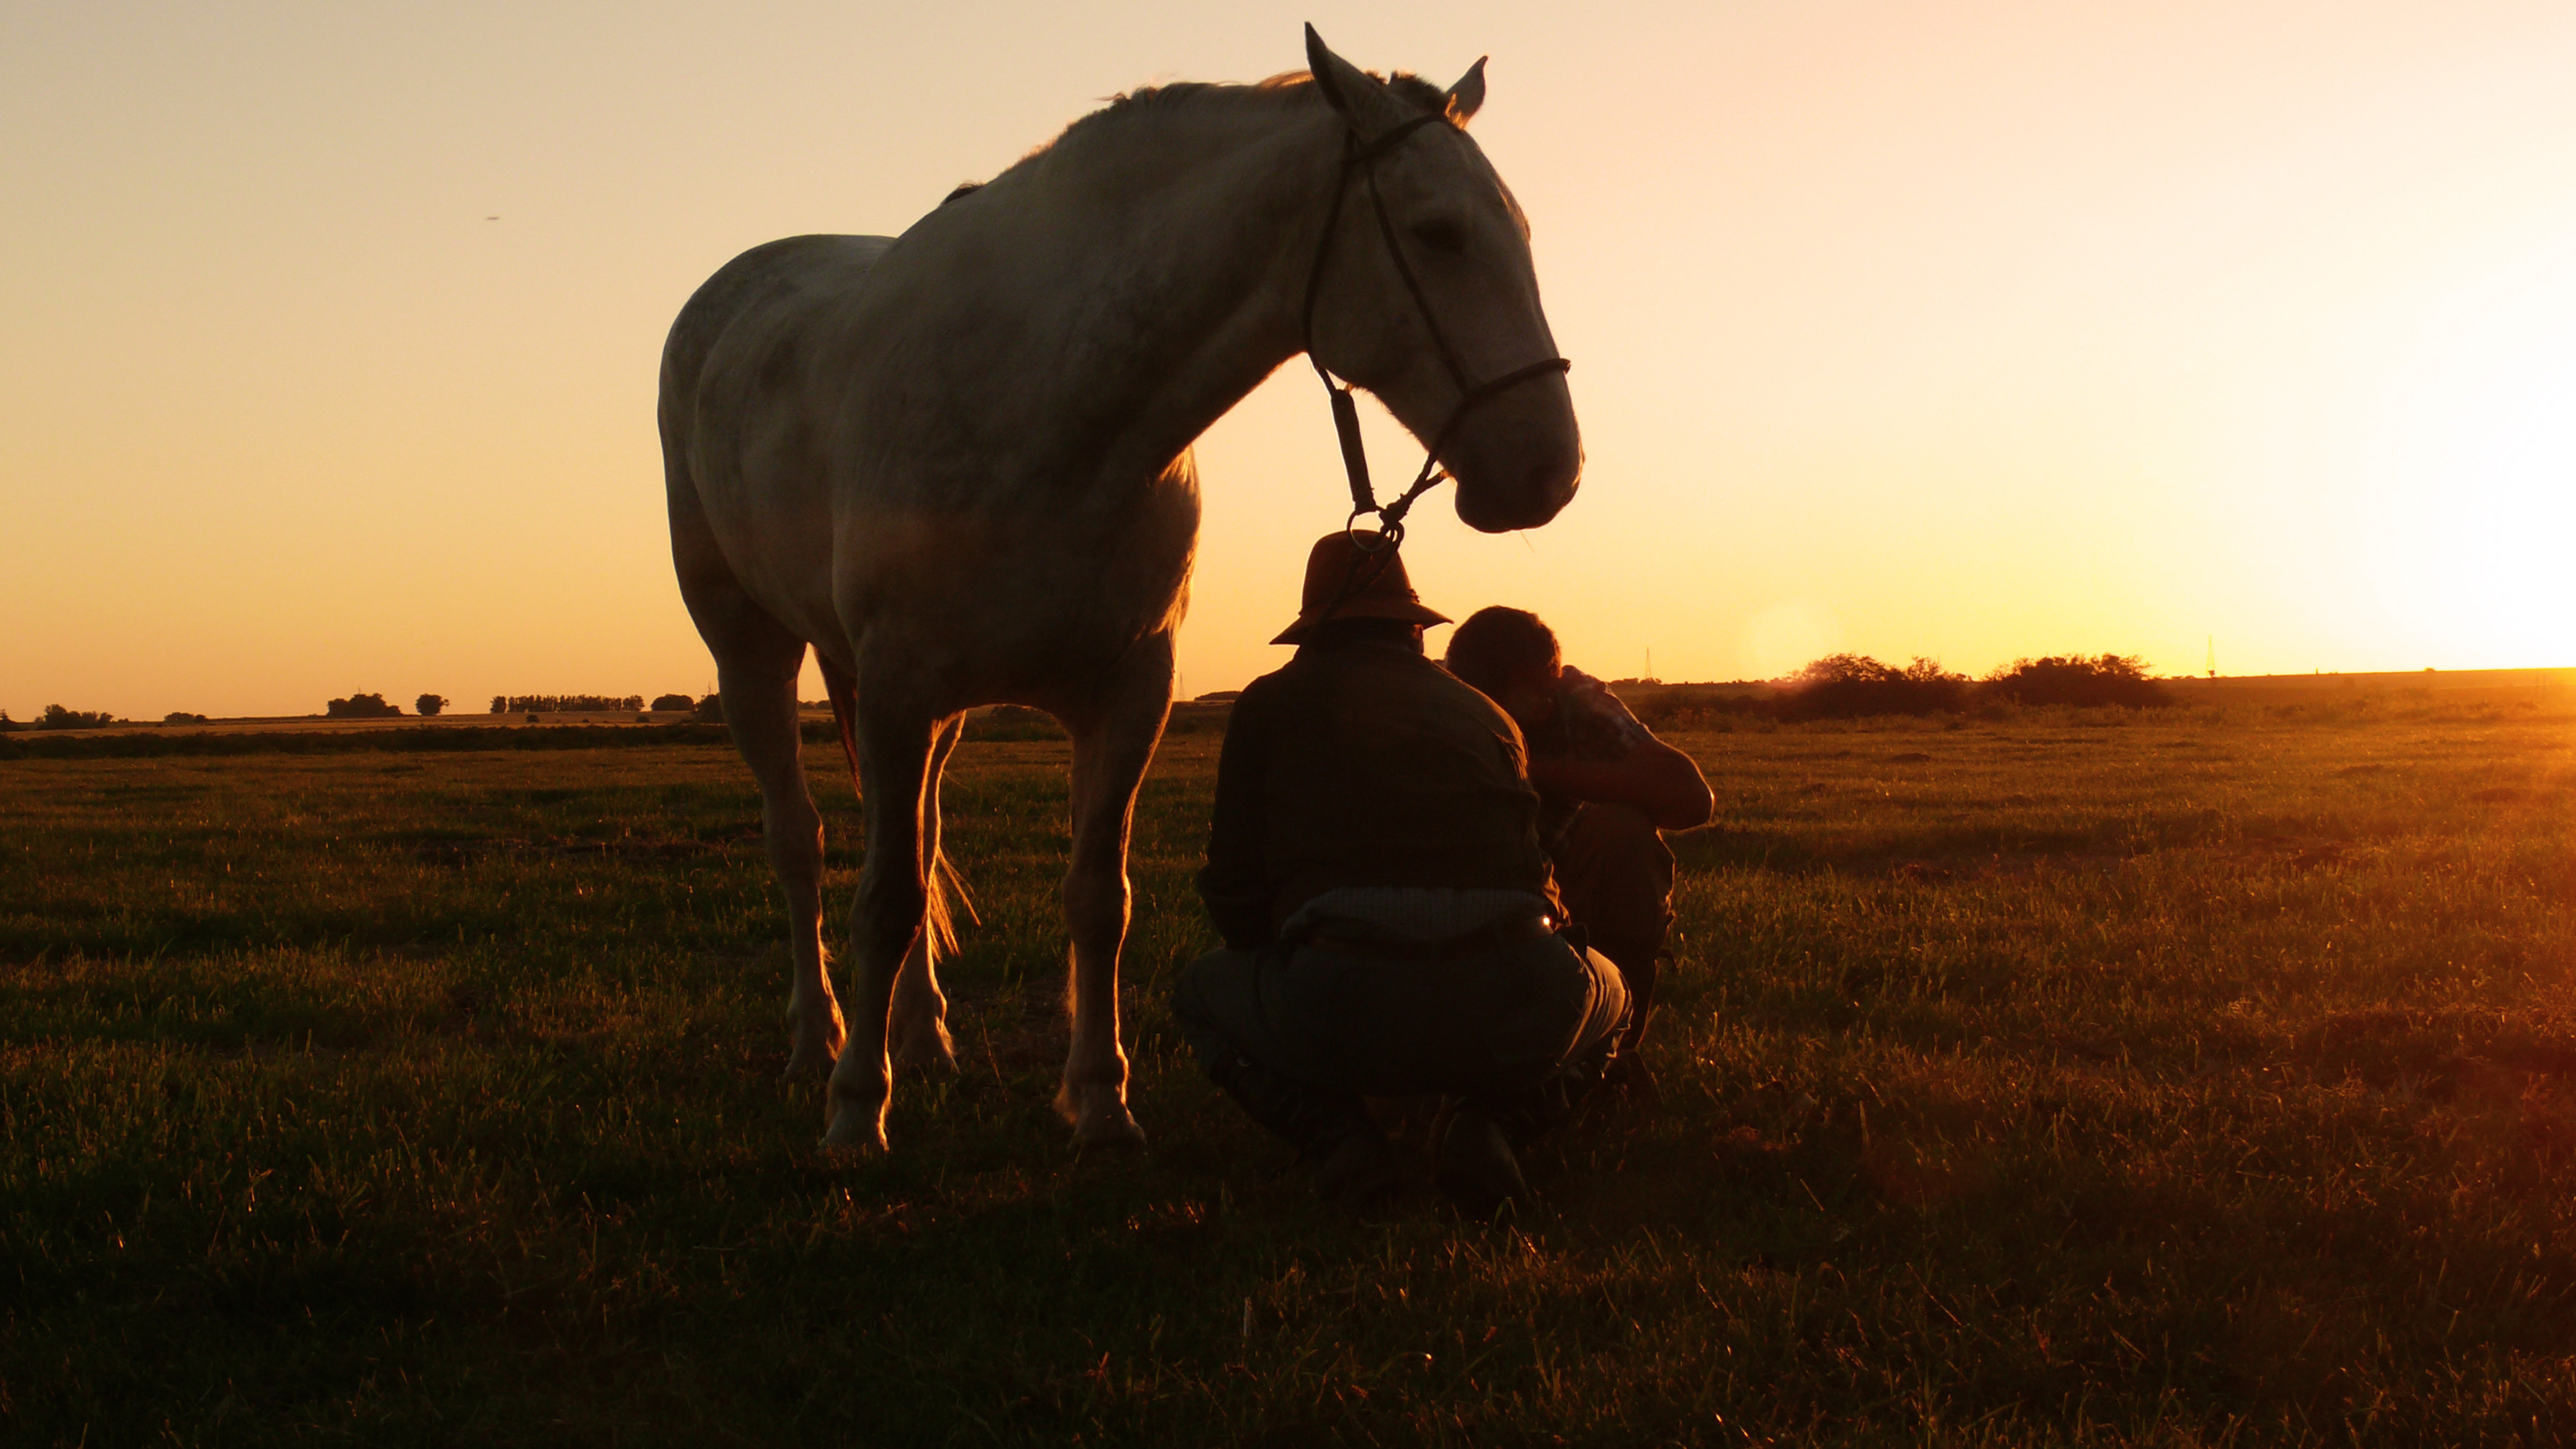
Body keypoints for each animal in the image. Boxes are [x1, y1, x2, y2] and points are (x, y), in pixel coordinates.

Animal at [654, 28, 1576, 1144]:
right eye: (1438, 234)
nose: (1548, 469)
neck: (1055, 410)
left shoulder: (1125, 691)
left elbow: (1094, 898)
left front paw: (1098, 1101)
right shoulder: (903, 686)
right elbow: (882, 899)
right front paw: (854, 1114)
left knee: (913, 839)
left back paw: (923, 1040)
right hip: (754, 650)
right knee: (801, 845)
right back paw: (817, 1044)